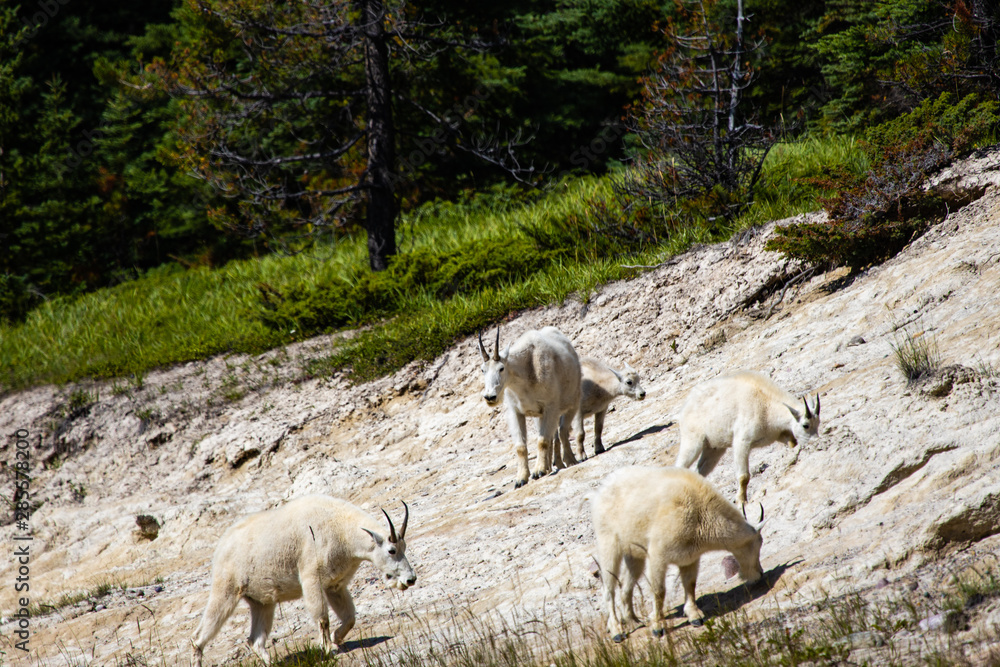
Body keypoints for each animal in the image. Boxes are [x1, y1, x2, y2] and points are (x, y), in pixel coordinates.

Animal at [191, 496, 415, 666]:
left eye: (404, 547)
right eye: (391, 550)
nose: (410, 579)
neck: (342, 532)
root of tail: (221, 547)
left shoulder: (335, 586)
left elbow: (350, 617)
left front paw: (336, 639)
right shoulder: (311, 578)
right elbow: (322, 618)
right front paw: (327, 649)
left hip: (262, 602)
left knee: (255, 640)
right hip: (226, 590)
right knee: (198, 637)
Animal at [479, 326, 582, 488]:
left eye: (501, 368)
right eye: (482, 370)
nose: (490, 397)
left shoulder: (551, 407)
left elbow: (542, 441)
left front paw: (538, 471)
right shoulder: (516, 412)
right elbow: (521, 447)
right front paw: (521, 479)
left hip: (573, 402)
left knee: (562, 431)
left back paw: (569, 461)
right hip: (539, 416)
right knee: (554, 435)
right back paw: (552, 465)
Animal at [592, 466, 764, 640]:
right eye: (759, 544)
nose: (760, 574)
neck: (700, 513)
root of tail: (602, 488)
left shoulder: (690, 558)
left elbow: (690, 583)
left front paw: (694, 616)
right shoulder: (657, 555)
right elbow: (659, 591)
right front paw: (657, 627)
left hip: (633, 552)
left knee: (626, 585)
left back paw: (633, 621)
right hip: (608, 543)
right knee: (609, 589)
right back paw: (616, 630)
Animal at [675, 370, 820, 504]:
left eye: (818, 423)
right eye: (805, 425)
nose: (816, 442)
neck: (766, 406)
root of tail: (686, 405)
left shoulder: (777, 436)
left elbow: (791, 442)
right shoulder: (742, 441)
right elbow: (744, 476)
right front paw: (741, 500)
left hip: (714, 449)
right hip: (693, 442)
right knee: (680, 466)